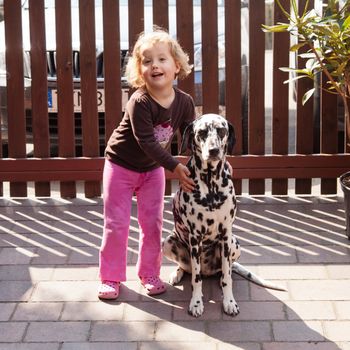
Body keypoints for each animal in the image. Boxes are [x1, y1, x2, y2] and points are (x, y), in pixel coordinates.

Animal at [163, 114, 286, 318]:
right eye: (202, 132)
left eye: (221, 130)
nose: (213, 150)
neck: (211, 182)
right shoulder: (195, 238)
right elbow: (196, 279)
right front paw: (196, 303)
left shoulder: (226, 235)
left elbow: (227, 276)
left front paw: (229, 302)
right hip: (168, 242)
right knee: (189, 270)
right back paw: (177, 274)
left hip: (235, 243)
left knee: (224, 272)